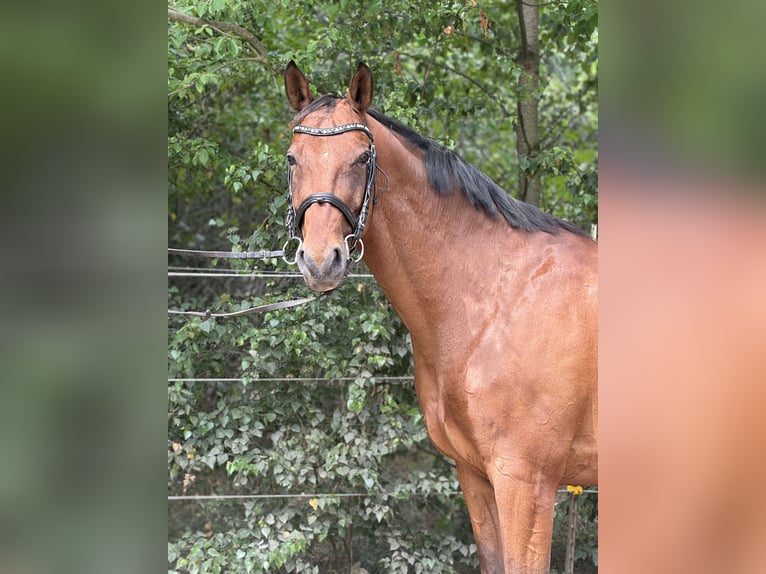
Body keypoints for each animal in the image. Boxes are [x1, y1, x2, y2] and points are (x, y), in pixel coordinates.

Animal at [283, 61, 598, 574]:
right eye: (293, 159)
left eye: (362, 159)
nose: (320, 260)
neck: (495, 296)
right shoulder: (475, 476)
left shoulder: (526, 482)